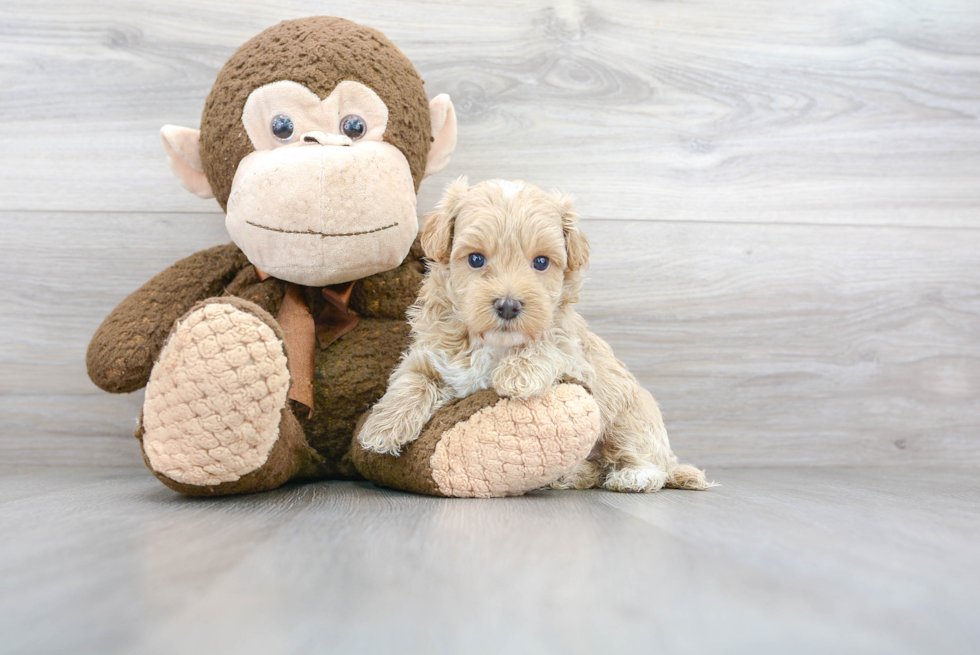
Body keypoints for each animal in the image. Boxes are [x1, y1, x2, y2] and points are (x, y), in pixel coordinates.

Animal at [360, 178, 712, 492]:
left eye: (541, 262)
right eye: (475, 259)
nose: (508, 306)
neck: (492, 344)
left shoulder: (577, 360)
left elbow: (550, 344)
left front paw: (518, 373)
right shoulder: (430, 355)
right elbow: (411, 380)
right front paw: (383, 427)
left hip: (630, 413)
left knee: (647, 460)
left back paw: (633, 476)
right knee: (595, 471)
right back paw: (570, 476)